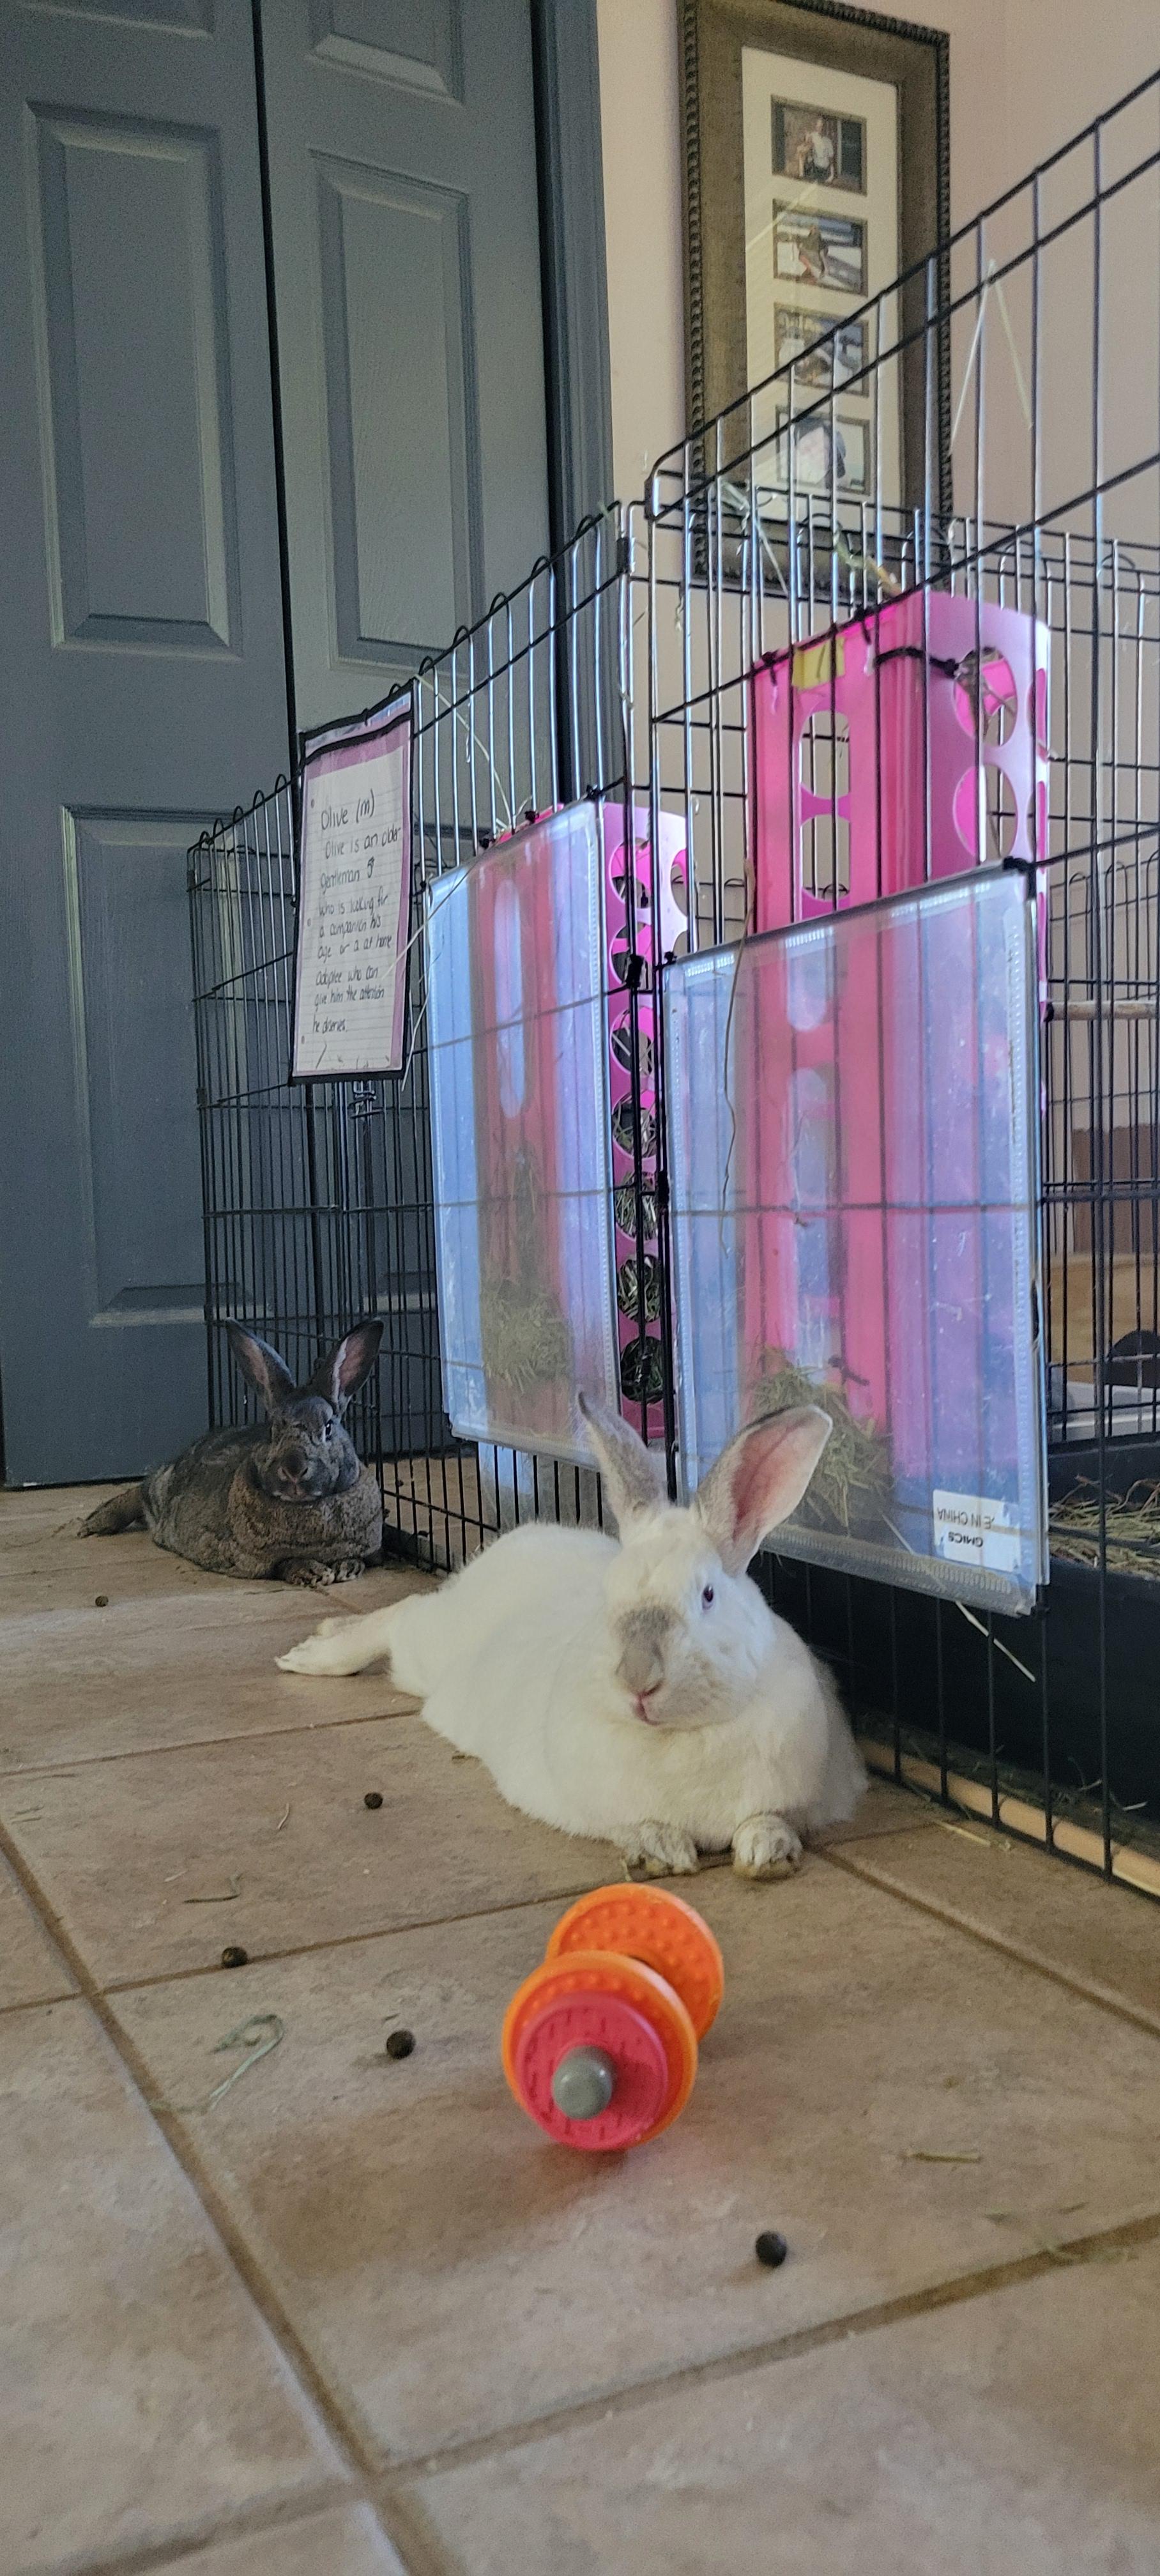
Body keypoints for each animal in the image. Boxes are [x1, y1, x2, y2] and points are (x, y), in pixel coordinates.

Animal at [80, 1320, 384, 1588]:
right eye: (272, 1430)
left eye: (328, 1428)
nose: (294, 1469)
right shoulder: (249, 1558)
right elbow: (284, 1564)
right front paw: (313, 1572)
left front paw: (348, 1567)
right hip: (160, 1491)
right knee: (138, 1494)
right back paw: (93, 1525)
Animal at [277, 1391, 865, 1875]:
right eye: (610, 1593)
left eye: (707, 1595)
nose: (638, 1679)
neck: (677, 1734)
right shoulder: (598, 1804)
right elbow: (633, 1824)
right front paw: (662, 1851)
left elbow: (770, 1818)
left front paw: (768, 1852)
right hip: (429, 1646)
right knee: (401, 1616)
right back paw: (311, 1652)